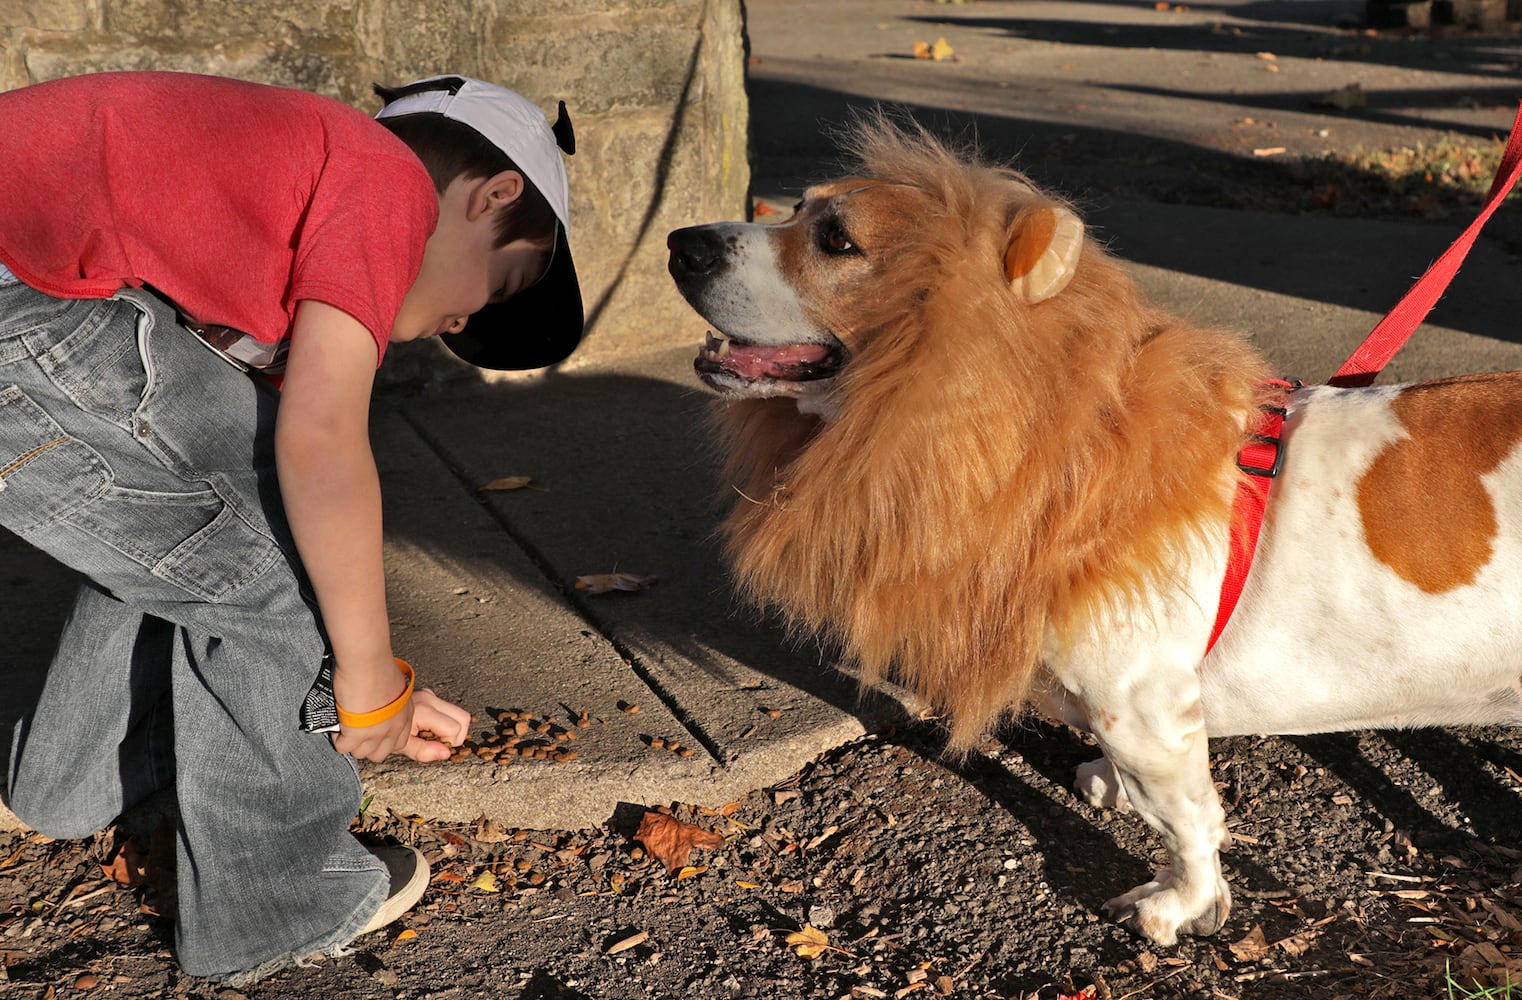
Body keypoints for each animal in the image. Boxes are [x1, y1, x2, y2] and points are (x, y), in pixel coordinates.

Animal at [663, 114, 1522, 943]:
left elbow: (1186, 822)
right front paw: (1108, 784)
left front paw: (1182, 904)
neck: (1064, 433)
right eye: (797, 209)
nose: (681, 244)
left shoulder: (1141, 708)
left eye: (837, 238)